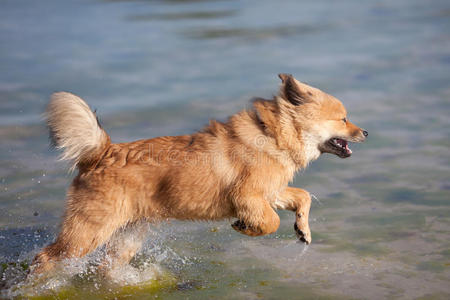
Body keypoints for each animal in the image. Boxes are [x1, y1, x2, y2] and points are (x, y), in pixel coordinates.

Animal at [29, 74, 368, 276]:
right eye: (343, 119)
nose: (365, 132)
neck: (273, 135)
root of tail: (102, 151)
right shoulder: (248, 196)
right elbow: (270, 222)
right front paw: (245, 228)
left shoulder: (270, 192)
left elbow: (303, 197)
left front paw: (302, 229)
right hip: (87, 232)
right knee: (44, 258)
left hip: (127, 235)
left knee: (105, 267)